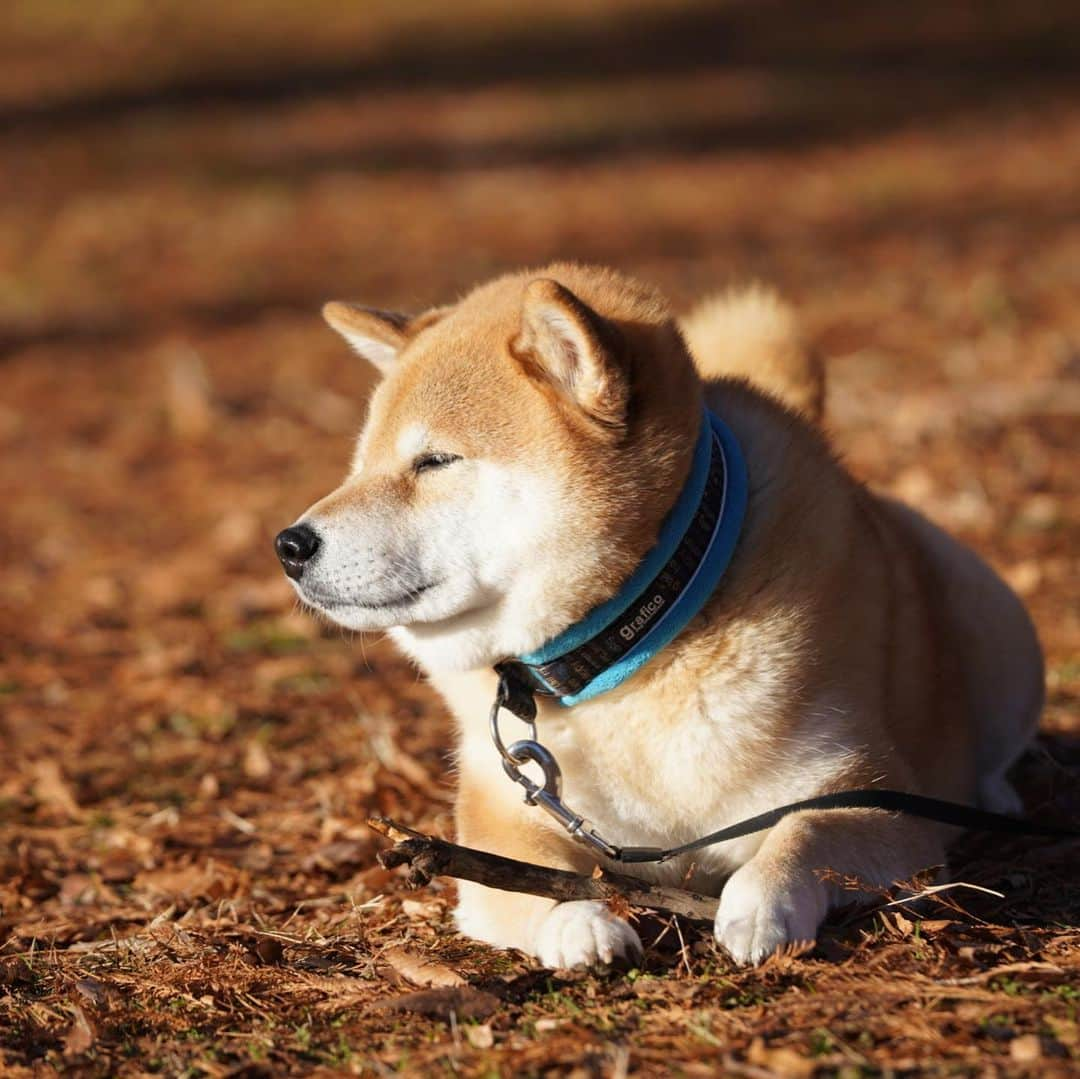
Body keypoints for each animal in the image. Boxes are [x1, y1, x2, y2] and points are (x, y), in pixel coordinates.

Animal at [274, 263, 1041, 972]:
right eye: (360, 465)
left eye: (435, 460)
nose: (289, 545)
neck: (625, 654)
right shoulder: (503, 814)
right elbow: (518, 882)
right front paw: (578, 923)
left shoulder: (875, 794)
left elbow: (803, 835)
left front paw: (763, 901)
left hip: (994, 621)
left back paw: (999, 792)